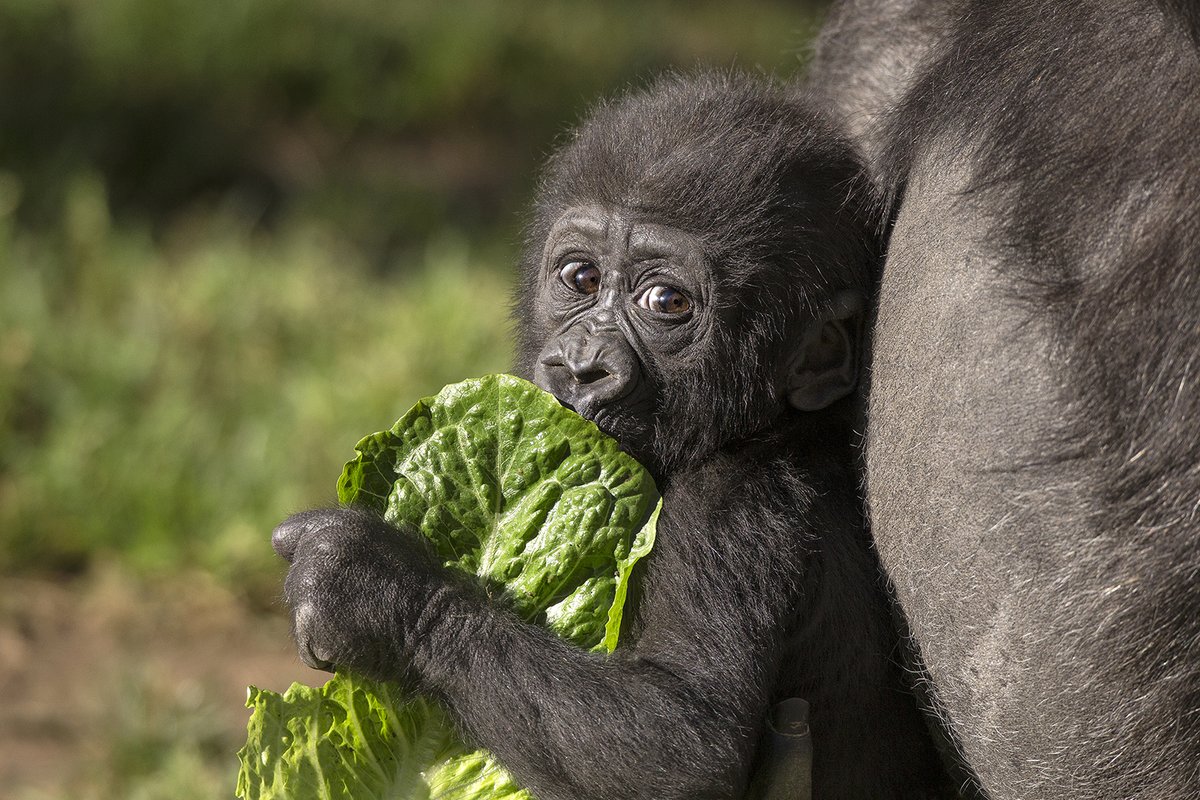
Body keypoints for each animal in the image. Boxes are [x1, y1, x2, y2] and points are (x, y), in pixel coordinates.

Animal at [272, 71, 945, 796]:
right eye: (581, 278)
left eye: (666, 303)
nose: (581, 364)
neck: (769, 427)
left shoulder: (733, 512)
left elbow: (677, 742)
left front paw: (370, 587)